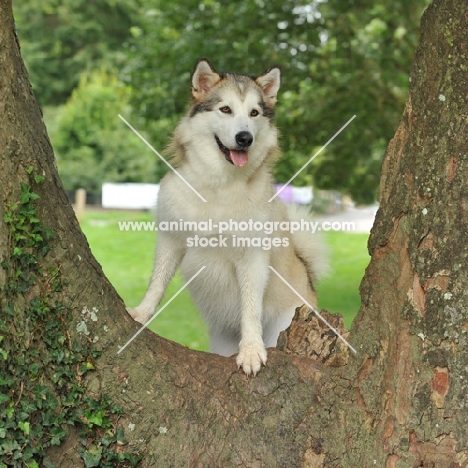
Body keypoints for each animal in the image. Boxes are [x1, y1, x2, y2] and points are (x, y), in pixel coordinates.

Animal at [126, 58, 328, 374]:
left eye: (254, 113)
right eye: (225, 109)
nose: (245, 138)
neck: (219, 187)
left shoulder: (253, 256)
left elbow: (250, 307)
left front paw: (251, 349)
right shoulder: (171, 240)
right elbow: (157, 283)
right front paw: (141, 313)